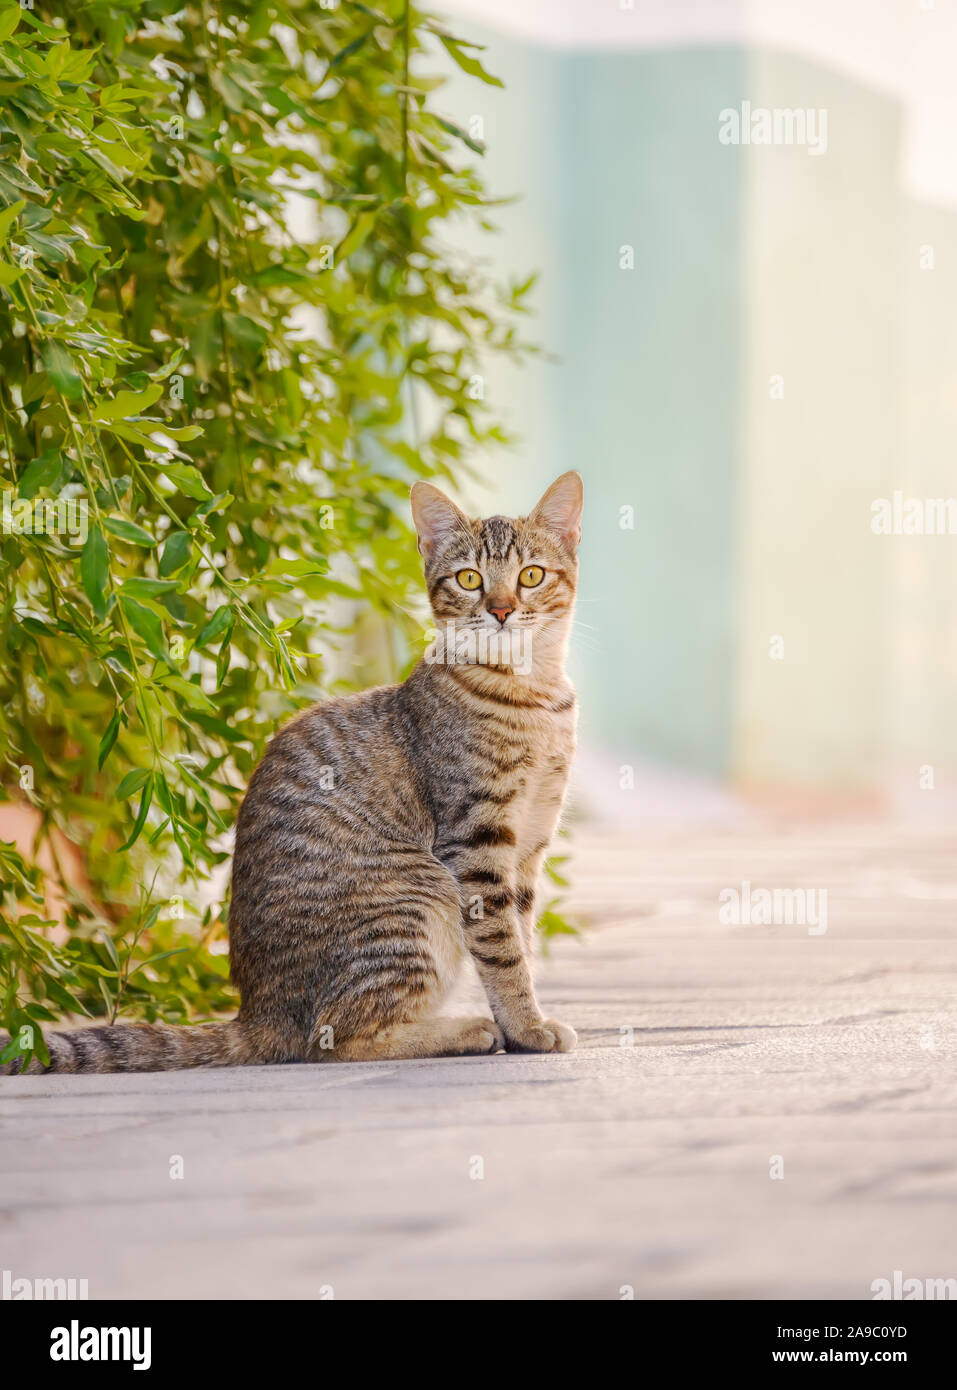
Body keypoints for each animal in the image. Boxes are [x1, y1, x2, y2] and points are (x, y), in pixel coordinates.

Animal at [3, 472, 584, 1067]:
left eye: (530, 575)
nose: (501, 609)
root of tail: (258, 1013)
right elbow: (503, 949)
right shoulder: (476, 843)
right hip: (418, 895)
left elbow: (522, 939)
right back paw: (463, 1031)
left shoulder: (529, 848)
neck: (531, 697)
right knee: (334, 1037)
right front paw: (526, 1026)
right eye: (469, 579)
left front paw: (526, 1021)